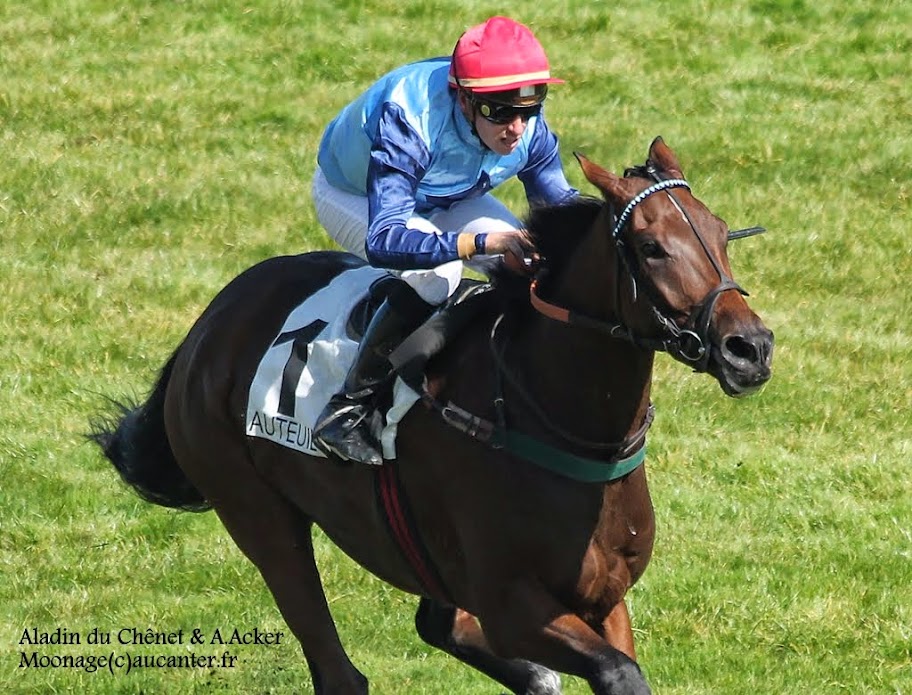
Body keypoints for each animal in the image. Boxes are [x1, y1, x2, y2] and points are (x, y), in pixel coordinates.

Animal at [92, 139, 772, 692]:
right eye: (651, 248)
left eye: (720, 232)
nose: (750, 347)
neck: (556, 419)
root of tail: (207, 325)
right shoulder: (511, 601)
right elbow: (619, 673)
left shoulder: (604, 597)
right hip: (258, 514)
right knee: (339, 669)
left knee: (442, 628)